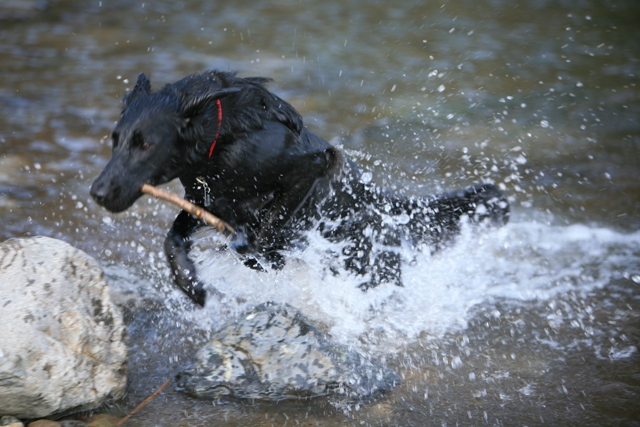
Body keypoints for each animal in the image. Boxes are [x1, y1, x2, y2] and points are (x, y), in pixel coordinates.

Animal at [90, 72, 510, 308]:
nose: (97, 192)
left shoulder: (317, 165)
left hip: (369, 262)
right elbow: (173, 238)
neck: (222, 138)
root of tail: (385, 203)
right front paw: (191, 285)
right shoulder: (206, 201)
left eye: (146, 144)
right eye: (116, 139)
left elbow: (267, 232)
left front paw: (265, 255)